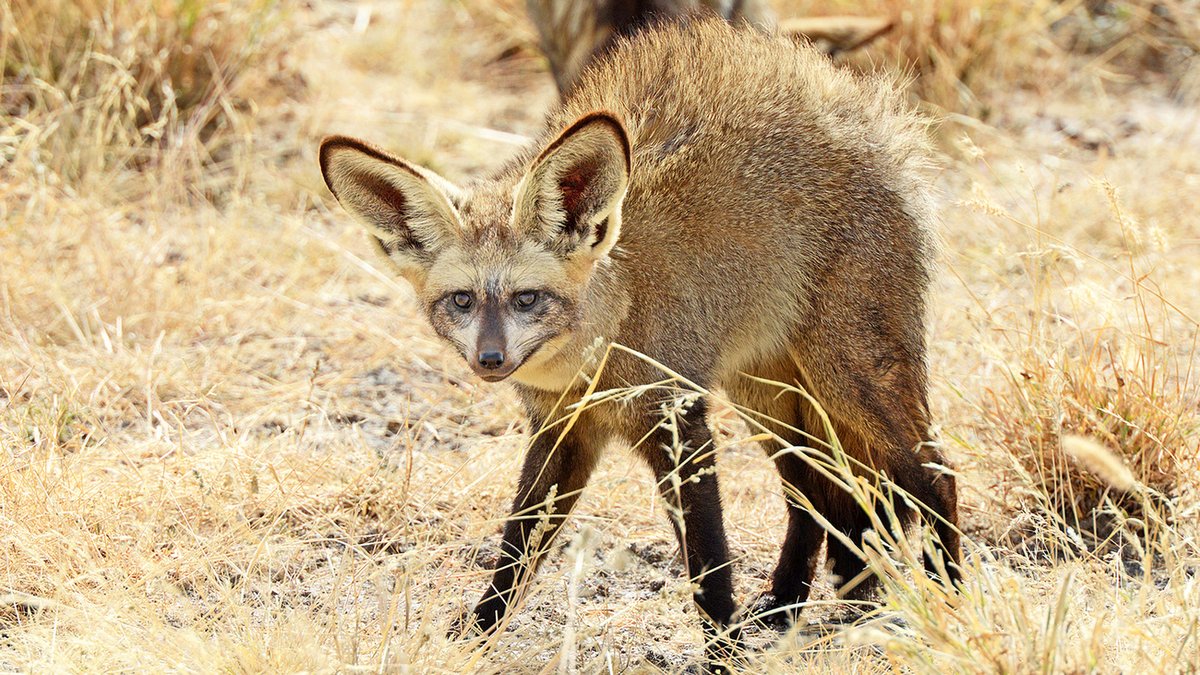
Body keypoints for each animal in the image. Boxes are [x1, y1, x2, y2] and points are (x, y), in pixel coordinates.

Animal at [319, 17, 960, 665]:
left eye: (526, 299)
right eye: (461, 301)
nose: (490, 360)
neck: (602, 360)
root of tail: (870, 115)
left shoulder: (679, 423)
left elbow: (707, 564)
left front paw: (723, 656)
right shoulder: (562, 431)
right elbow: (517, 550)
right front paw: (477, 633)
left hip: (847, 375)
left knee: (935, 479)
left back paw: (951, 603)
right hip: (768, 397)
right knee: (818, 500)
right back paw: (788, 606)